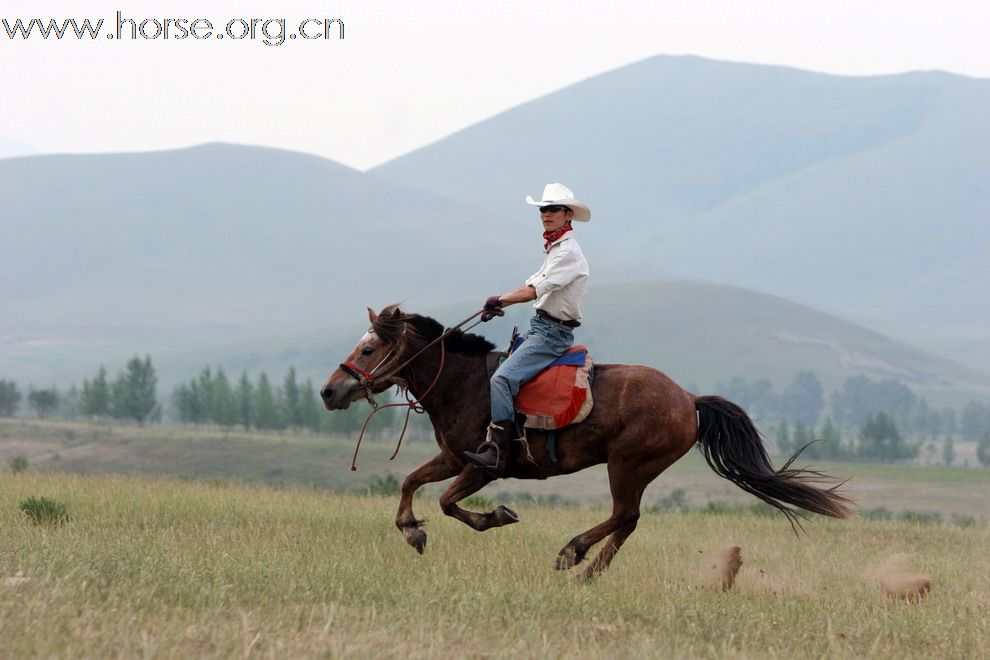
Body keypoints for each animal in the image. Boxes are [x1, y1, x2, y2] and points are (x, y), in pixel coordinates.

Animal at [320, 304, 852, 576]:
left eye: (368, 348)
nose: (329, 391)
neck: (465, 383)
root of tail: (689, 398)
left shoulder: (482, 465)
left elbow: (450, 503)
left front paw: (496, 516)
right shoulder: (452, 457)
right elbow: (410, 482)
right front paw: (412, 530)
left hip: (628, 463)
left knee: (624, 514)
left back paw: (572, 553)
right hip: (634, 468)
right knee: (628, 520)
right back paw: (590, 569)